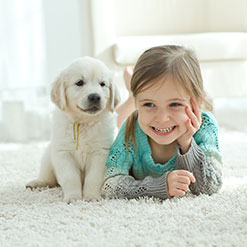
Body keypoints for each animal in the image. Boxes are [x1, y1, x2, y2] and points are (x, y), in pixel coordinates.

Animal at [26, 56, 120, 203]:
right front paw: (74, 197)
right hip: (47, 159)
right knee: (49, 180)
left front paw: (91, 197)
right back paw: (36, 183)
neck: (83, 122)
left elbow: (93, 178)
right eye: (79, 82)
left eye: (102, 84)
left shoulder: (100, 153)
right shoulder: (63, 153)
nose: (95, 96)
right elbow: (70, 177)